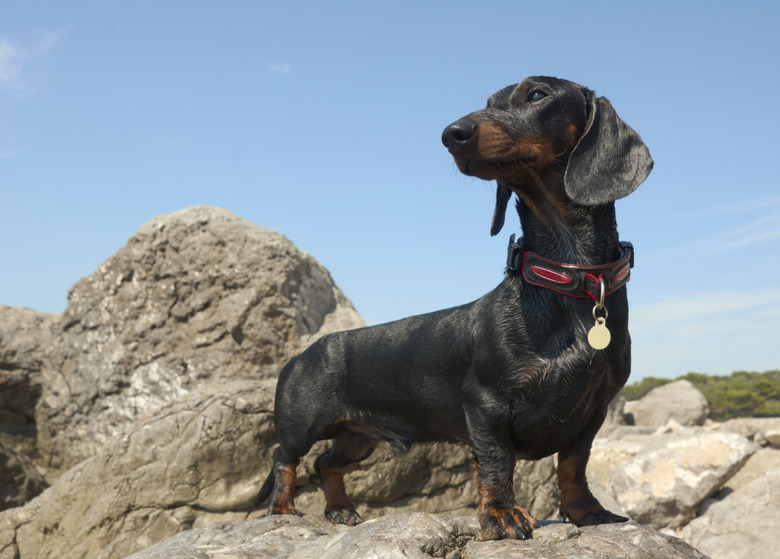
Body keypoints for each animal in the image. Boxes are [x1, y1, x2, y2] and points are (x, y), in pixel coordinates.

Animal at [258, 76, 652, 540]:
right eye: (489, 101)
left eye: (536, 94)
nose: (451, 134)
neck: (566, 278)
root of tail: (302, 353)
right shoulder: (485, 405)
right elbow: (497, 464)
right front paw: (502, 514)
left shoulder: (592, 411)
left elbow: (574, 465)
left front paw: (586, 511)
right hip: (302, 425)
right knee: (285, 458)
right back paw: (283, 508)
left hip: (360, 437)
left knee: (325, 463)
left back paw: (340, 509)